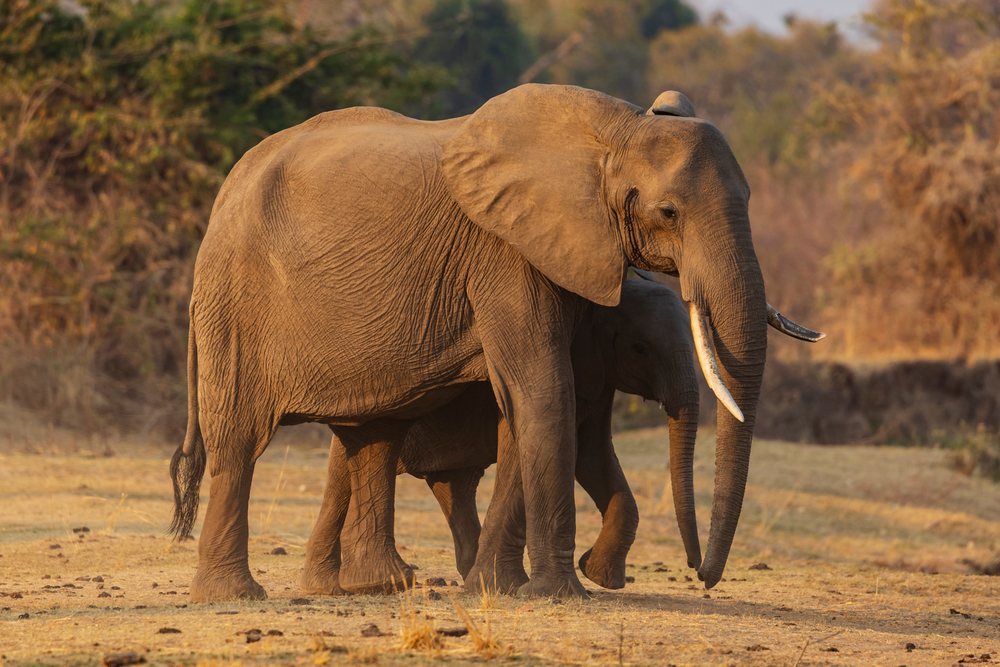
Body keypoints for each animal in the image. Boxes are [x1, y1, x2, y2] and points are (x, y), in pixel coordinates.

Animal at [300, 278, 701, 595]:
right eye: (640, 348)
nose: (697, 569)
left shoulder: (598, 377)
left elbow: (593, 454)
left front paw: (599, 576)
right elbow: (578, 453)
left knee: (453, 486)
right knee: (344, 472)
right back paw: (327, 587)